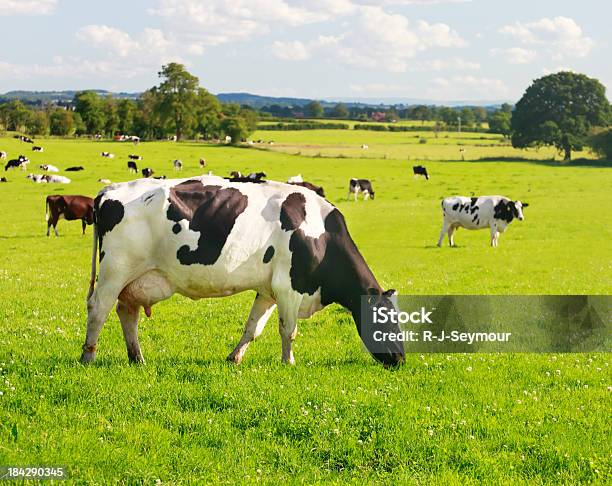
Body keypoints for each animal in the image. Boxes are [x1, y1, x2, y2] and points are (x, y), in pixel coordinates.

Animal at [81, 177, 406, 366]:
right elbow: (289, 329)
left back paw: (137, 358)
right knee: (98, 309)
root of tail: (108, 190)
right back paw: (88, 355)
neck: (320, 232)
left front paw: (234, 357)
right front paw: (288, 362)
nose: (400, 358)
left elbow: (253, 327)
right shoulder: (290, 286)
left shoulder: (268, 290)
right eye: (385, 319)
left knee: (127, 312)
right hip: (115, 271)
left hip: (136, 279)